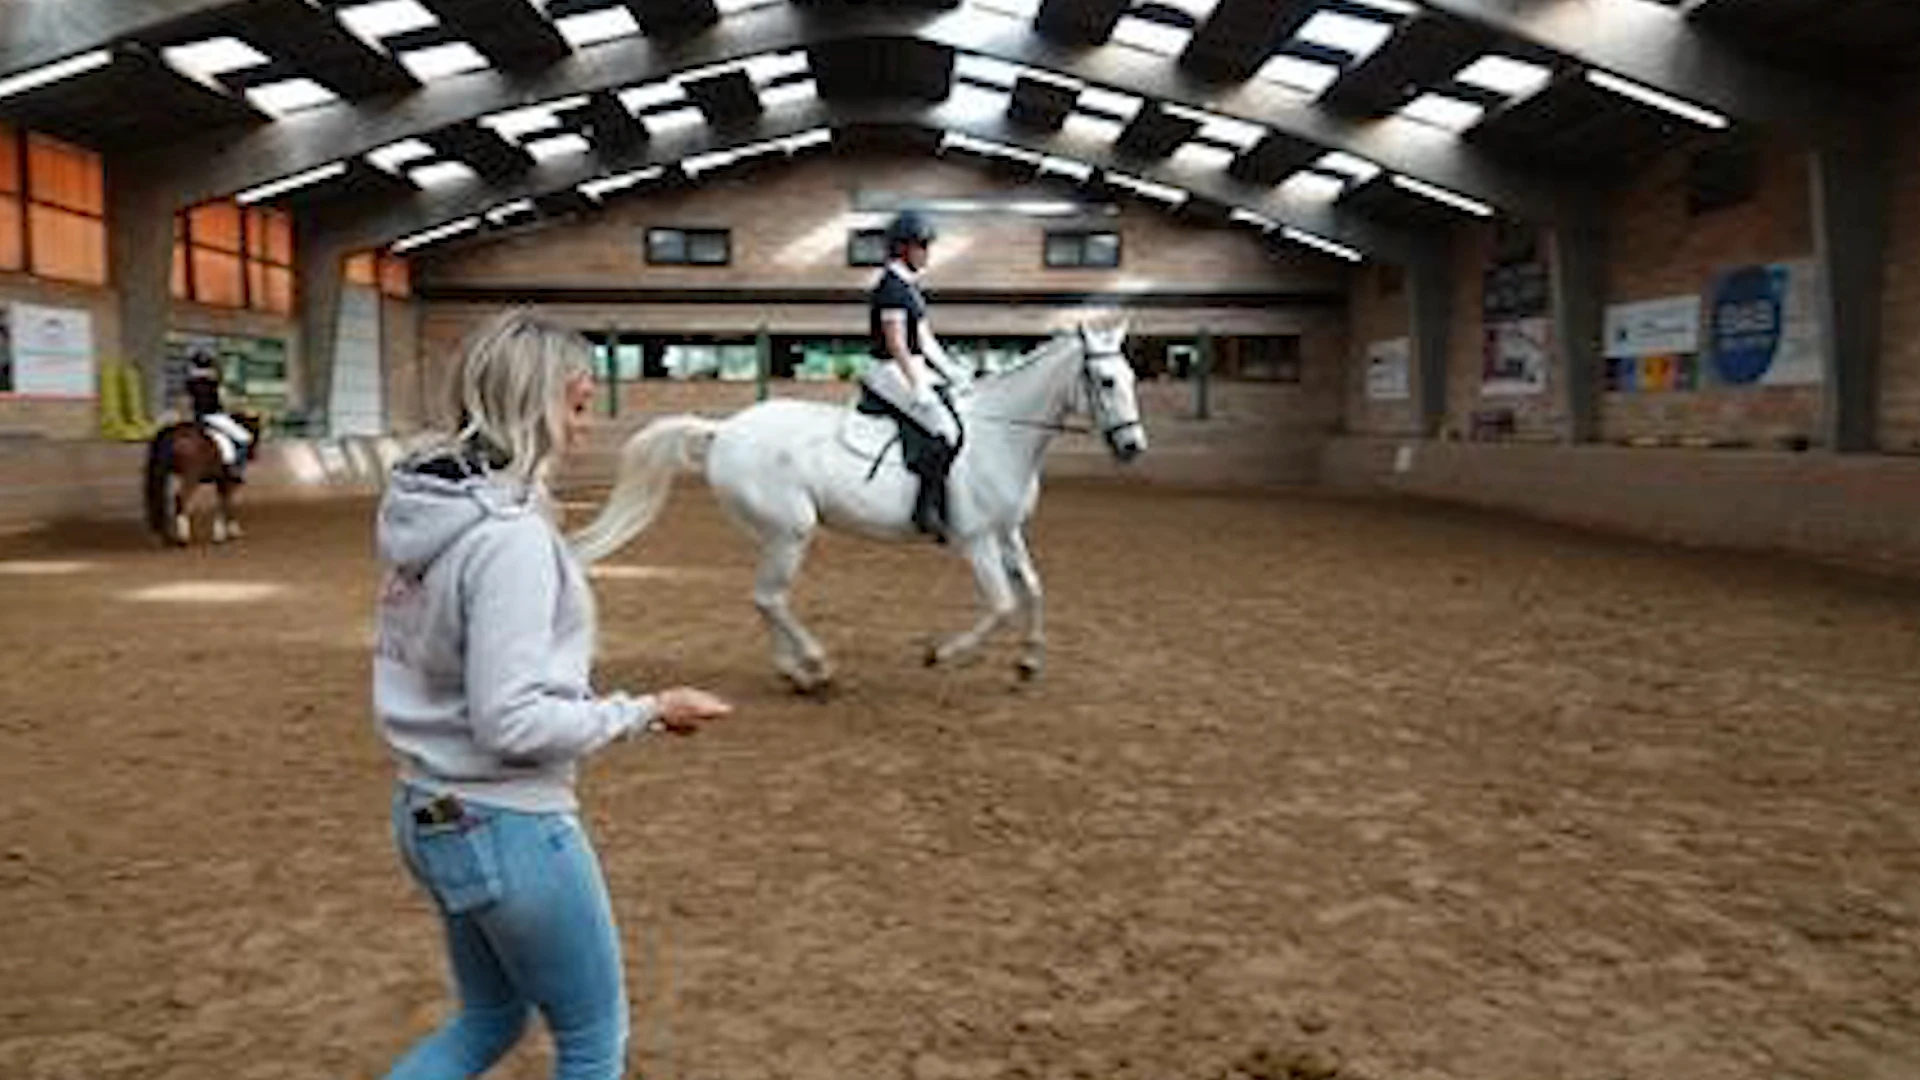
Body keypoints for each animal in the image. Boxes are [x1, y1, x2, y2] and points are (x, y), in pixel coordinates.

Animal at [142, 411, 261, 545]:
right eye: (256, 431)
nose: (254, 456)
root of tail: (173, 434)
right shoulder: (228, 481)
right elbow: (228, 503)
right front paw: (229, 533)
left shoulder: (220, 480)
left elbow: (220, 503)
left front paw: (220, 533)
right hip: (190, 476)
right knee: (181, 499)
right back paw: (183, 538)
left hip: (170, 475)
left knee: (169, 500)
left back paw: (167, 536)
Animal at [568, 319, 1136, 687]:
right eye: (1106, 381)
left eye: (1131, 377)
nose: (1133, 447)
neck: (1001, 435)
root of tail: (724, 429)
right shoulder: (975, 540)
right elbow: (1001, 604)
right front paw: (941, 654)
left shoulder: (1006, 532)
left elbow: (1034, 591)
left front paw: (1029, 662)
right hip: (792, 530)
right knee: (769, 597)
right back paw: (815, 667)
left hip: (777, 534)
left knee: (765, 597)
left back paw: (793, 670)